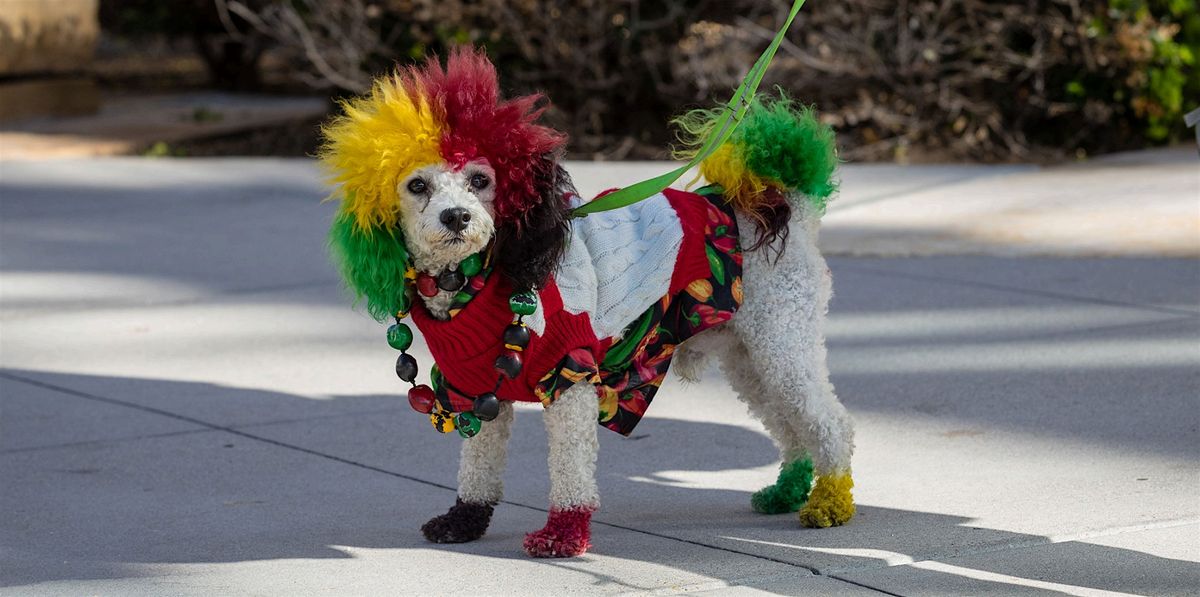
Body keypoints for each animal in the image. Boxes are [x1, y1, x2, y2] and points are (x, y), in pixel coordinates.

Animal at [321, 48, 854, 556]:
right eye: (417, 185)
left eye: (480, 180)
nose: (456, 216)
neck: (474, 278)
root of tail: (784, 205)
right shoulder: (473, 389)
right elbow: (478, 466)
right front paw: (465, 519)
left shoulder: (569, 375)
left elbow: (571, 469)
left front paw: (563, 535)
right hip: (749, 356)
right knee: (789, 426)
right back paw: (789, 490)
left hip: (782, 342)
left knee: (830, 424)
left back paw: (830, 500)